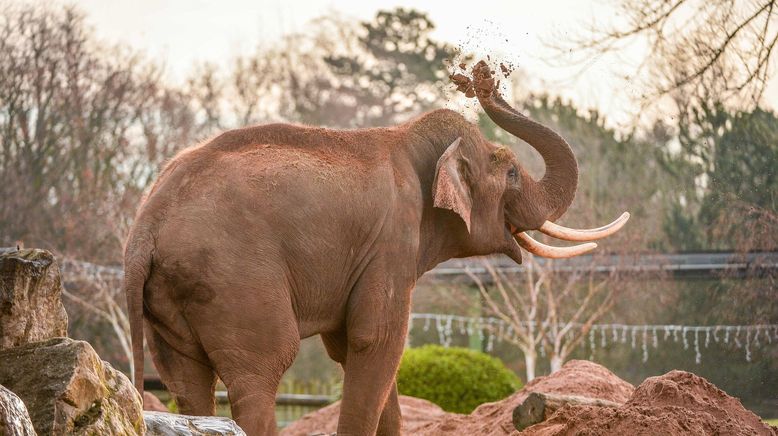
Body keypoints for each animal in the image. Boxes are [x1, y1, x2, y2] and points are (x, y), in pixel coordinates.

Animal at [126, 59, 624, 434]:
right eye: (513, 173)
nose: (482, 74)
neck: (411, 140)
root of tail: (144, 226)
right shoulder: (392, 240)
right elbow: (377, 340)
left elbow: (354, 349)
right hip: (234, 282)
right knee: (262, 371)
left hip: (170, 297)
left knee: (187, 379)